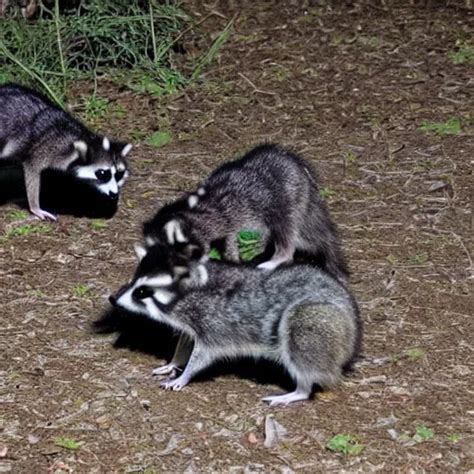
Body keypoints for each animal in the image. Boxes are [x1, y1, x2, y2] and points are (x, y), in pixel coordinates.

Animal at [0, 83, 133, 220]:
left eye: (119, 174)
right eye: (102, 173)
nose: (114, 194)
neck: (86, 140)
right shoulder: (48, 150)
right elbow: (32, 170)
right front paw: (35, 207)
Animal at [109, 243, 362, 406]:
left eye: (142, 292)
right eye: (132, 282)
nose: (113, 299)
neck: (187, 294)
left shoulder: (213, 326)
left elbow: (202, 355)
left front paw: (184, 375)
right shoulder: (193, 324)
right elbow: (186, 341)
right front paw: (174, 362)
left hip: (316, 321)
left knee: (300, 337)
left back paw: (300, 390)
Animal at [143, 143, 346, 280]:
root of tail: (299, 166)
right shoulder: (227, 226)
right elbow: (229, 242)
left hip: (287, 200)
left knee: (287, 233)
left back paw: (277, 257)